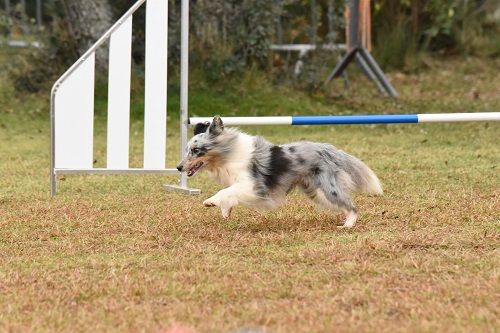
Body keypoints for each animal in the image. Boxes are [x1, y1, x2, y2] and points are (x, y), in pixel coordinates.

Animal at [177, 115, 382, 227]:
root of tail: (329, 149)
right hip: (316, 192)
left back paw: (347, 226)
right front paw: (225, 211)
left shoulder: (252, 186)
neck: (229, 152)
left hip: (328, 189)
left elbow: (225, 191)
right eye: (186, 149)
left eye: (196, 150)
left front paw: (210, 202)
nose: (178, 167)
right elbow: (229, 194)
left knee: (352, 206)